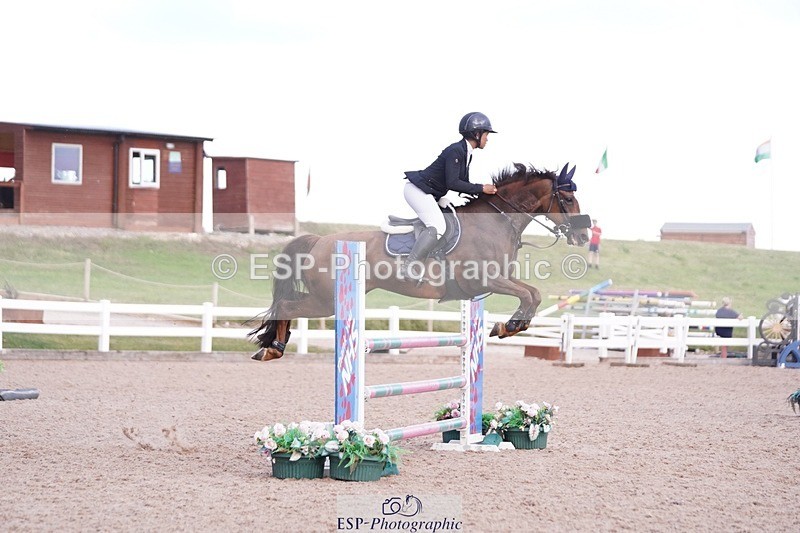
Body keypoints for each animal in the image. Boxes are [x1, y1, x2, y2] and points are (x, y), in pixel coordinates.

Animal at [250, 162, 591, 361]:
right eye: (568, 199)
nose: (583, 236)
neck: (497, 220)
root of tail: (318, 241)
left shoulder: (498, 280)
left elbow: (533, 294)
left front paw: (509, 326)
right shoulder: (485, 280)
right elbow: (529, 294)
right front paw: (509, 325)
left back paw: (274, 346)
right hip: (326, 300)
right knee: (286, 305)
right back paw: (273, 349)